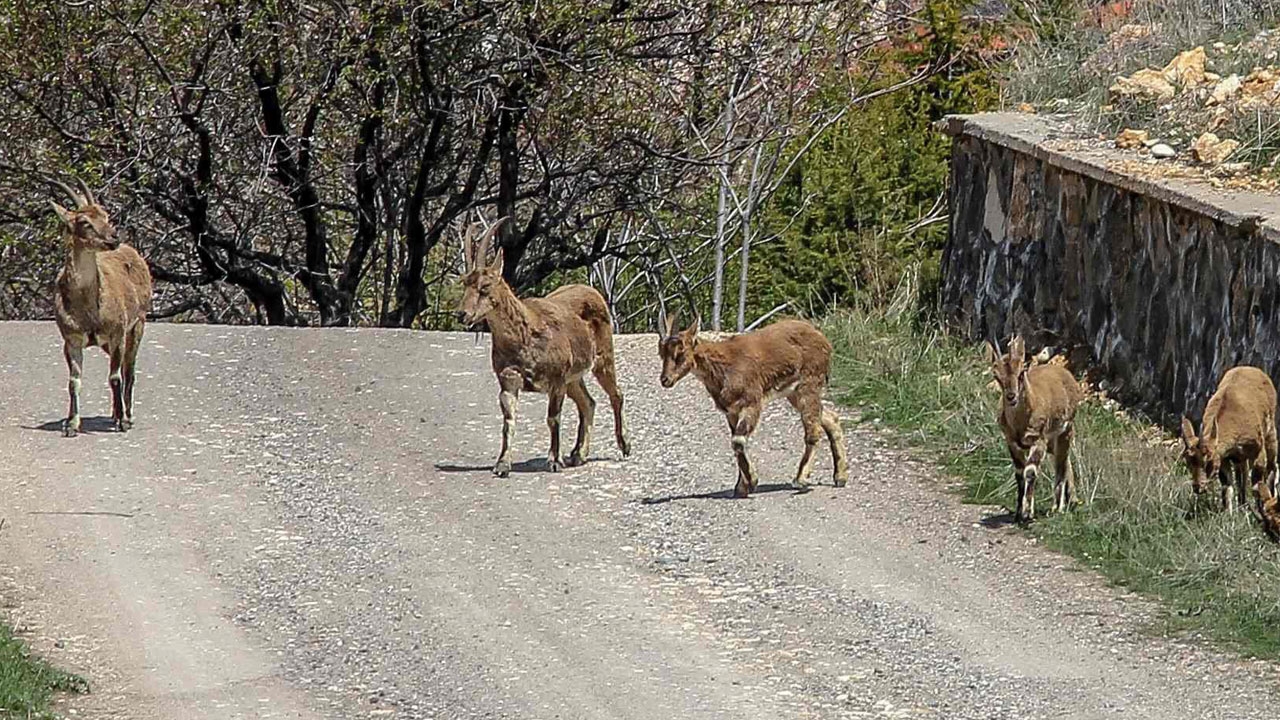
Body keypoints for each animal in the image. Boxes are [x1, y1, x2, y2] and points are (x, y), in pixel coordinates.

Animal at [50, 179, 151, 438]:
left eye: (106, 215)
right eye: (84, 222)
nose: (113, 237)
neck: (89, 310)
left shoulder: (117, 333)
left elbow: (115, 377)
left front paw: (123, 422)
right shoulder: (72, 339)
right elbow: (74, 381)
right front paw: (71, 425)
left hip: (137, 325)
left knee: (128, 371)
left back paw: (126, 415)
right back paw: (115, 412)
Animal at [460, 219, 629, 476]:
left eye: (485, 286)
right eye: (465, 283)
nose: (462, 314)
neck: (524, 339)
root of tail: (593, 291)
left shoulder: (556, 380)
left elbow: (553, 418)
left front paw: (554, 461)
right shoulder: (508, 380)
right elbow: (508, 421)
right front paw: (502, 464)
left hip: (602, 358)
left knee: (615, 394)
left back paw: (624, 445)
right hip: (573, 378)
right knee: (588, 402)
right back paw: (578, 454)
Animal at [660, 313, 849, 499]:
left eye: (680, 352)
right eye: (661, 353)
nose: (665, 380)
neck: (723, 367)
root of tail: (824, 340)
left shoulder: (752, 402)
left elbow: (737, 440)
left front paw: (751, 482)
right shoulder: (731, 411)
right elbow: (736, 441)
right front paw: (741, 487)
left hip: (809, 383)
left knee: (813, 430)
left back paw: (801, 479)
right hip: (793, 393)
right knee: (830, 418)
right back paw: (840, 477)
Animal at [988, 335, 1080, 520]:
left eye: (1021, 372)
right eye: (996, 375)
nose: (1011, 397)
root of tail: (1066, 374)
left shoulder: (1038, 439)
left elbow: (1030, 471)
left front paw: (1027, 512)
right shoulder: (1011, 442)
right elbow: (1019, 473)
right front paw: (1018, 512)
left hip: (1065, 430)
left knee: (1061, 464)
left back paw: (1058, 507)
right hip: (1052, 440)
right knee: (1065, 461)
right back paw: (1071, 499)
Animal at [1177, 363, 1280, 504]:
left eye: (1207, 460)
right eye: (1188, 461)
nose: (1198, 488)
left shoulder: (1257, 450)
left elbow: (1257, 485)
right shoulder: (1224, 457)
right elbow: (1227, 489)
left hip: (1270, 432)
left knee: (1272, 465)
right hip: (1239, 458)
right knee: (1241, 475)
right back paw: (1242, 503)